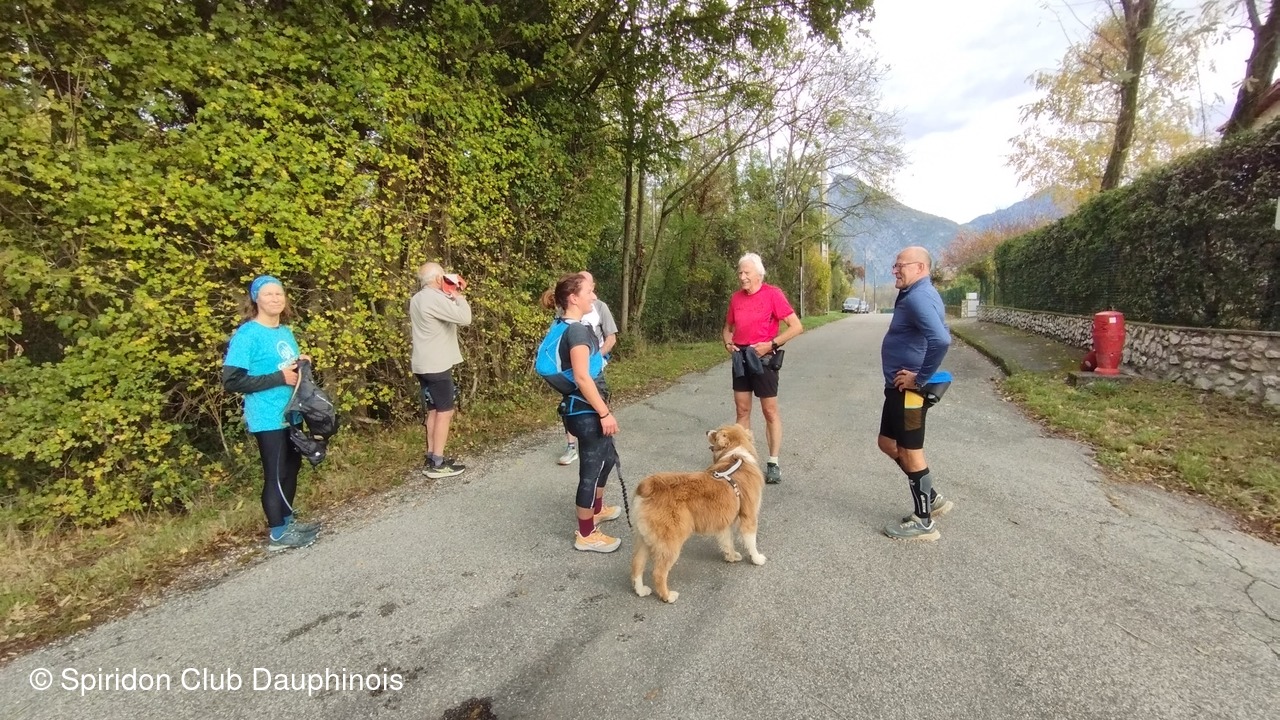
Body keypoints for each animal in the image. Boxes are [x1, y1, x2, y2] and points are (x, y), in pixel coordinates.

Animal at [630, 423, 767, 603]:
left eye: (715, 434)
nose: (707, 431)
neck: (736, 455)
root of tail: (648, 485)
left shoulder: (723, 521)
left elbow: (727, 541)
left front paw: (731, 556)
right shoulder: (749, 517)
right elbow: (751, 542)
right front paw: (757, 559)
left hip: (643, 540)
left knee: (636, 565)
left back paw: (641, 590)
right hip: (670, 543)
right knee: (658, 573)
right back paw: (668, 596)